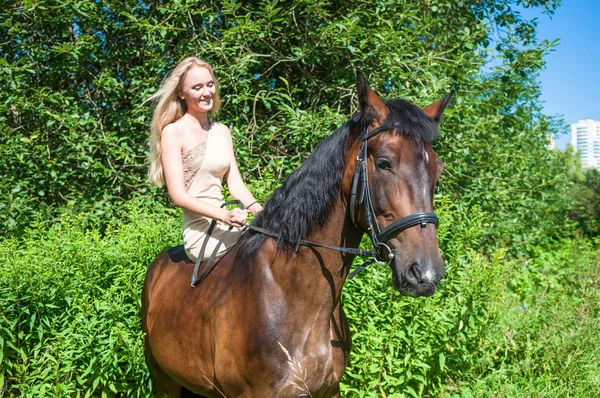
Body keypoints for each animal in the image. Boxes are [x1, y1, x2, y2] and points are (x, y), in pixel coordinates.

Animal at [141, 71, 450, 398]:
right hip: (164, 379)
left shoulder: (329, 391)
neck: (294, 293)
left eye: (438, 170)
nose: (426, 273)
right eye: (384, 163)